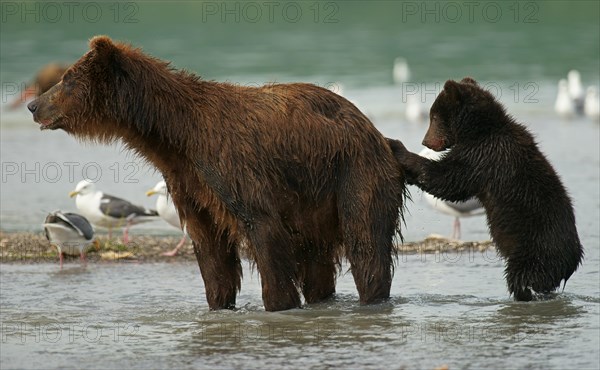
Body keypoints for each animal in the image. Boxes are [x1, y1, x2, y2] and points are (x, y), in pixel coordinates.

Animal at [30, 36, 410, 310]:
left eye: (67, 79)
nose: (34, 105)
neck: (175, 137)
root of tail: (378, 134)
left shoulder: (232, 169)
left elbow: (265, 234)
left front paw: (278, 306)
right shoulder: (190, 184)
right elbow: (211, 252)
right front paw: (218, 305)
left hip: (354, 173)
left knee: (365, 243)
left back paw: (371, 297)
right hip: (315, 200)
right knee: (318, 263)